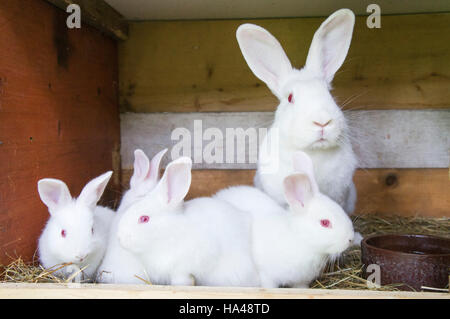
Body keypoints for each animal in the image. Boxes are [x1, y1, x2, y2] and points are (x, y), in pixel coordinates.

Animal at [214, 152, 356, 290]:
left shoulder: (301, 281)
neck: (301, 240)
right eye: (325, 223)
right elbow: (269, 286)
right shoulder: (266, 274)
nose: (350, 239)